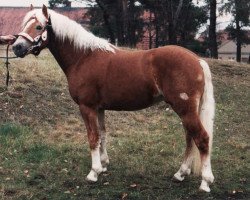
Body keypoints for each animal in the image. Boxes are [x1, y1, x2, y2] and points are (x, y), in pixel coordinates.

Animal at [12, 5, 215, 192]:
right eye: (25, 24)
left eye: (39, 26)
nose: (17, 47)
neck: (83, 57)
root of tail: (197, 60)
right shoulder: (99, 108)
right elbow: (102, 135)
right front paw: (103, 165)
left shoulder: (87, 107)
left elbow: (93, 137)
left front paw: (93, 173)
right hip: (187, 111)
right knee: (190, 138)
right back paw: (180, 174)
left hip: (185, 109)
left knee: (202, 138)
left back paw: (205, 182)